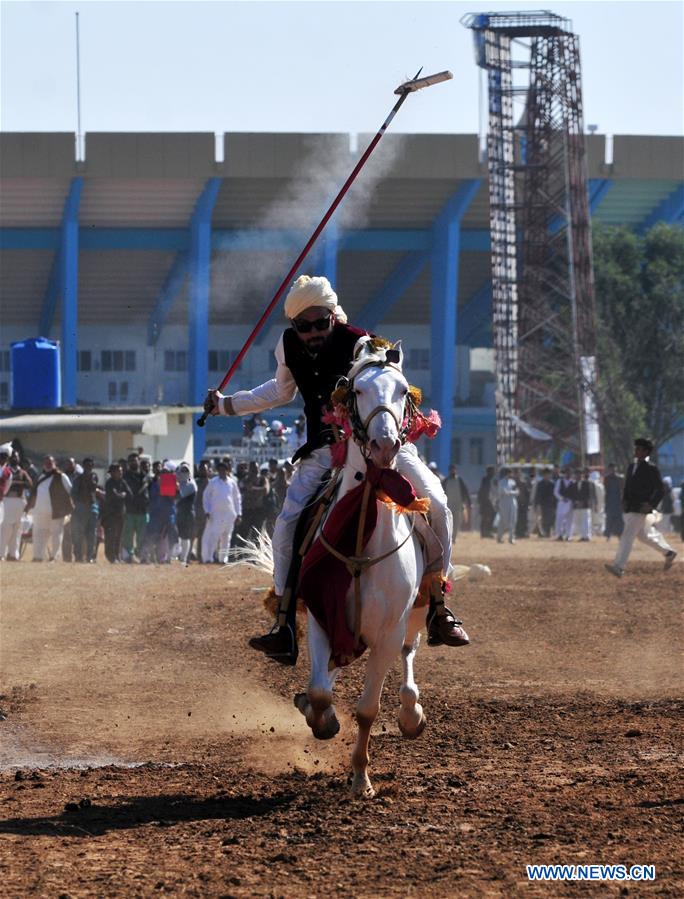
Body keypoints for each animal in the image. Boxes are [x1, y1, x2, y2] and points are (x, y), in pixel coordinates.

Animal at [294, 342, 432, 800]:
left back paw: (411, 713)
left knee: (410, 652)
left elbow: (368, 709)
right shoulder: (323, 615)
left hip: (417, 613)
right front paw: (322, 719)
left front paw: (360, 778)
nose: (384, 443)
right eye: (356, 390)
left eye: (403, 389)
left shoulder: (387, 632)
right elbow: (320, 691)